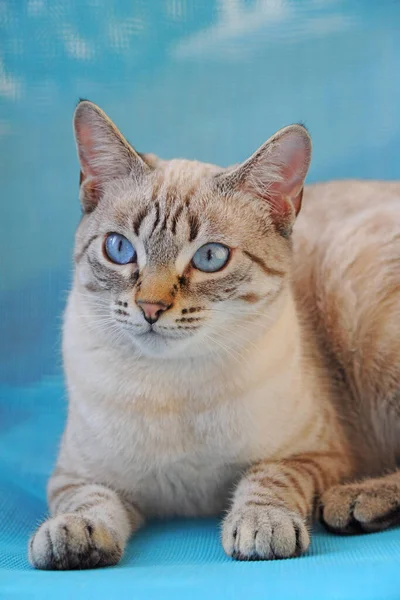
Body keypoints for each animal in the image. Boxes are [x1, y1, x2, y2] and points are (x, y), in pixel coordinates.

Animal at [28, 101, 400, 568]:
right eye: (119, 249)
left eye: (209, 257)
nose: (150, 308)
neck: (171, 385)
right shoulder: (77, 476)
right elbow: (88, 503)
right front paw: (73, 534)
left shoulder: (318, 455)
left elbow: (268, 477)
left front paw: (263, 524)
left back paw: (354, 502)